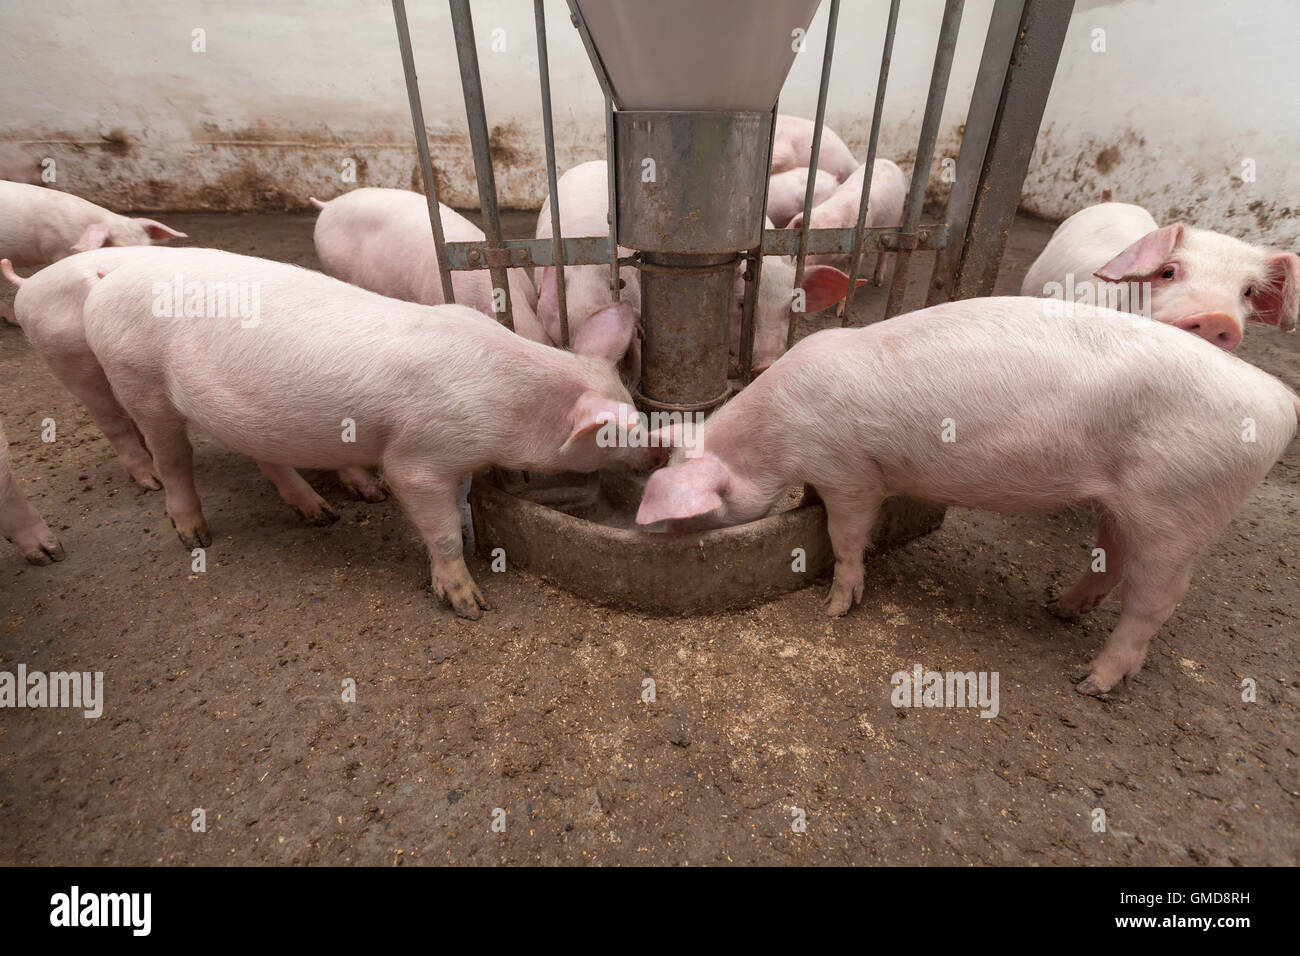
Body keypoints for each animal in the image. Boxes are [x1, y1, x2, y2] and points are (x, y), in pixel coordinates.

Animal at [78, 251, 660, 616]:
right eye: (614, 434)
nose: (658, 452)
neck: (509, 404)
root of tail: (105, 280)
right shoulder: (418, 456)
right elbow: (439, 524)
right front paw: (471, 606)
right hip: (137, 379)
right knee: (172, 459)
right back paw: (196, 536)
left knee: (268, 457)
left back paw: (325, 512)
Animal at [639, 297, 1300, 697]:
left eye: (693, 511)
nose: (652, 537)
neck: (776, 432)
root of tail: (1280, 400)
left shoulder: (852, 473)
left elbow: (846, 536)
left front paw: (835, 608)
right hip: (1125, 503)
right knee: (1112, 562)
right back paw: (1058, 609)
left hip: (1179, 507)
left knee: (1156, 600)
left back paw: (1090, 682)